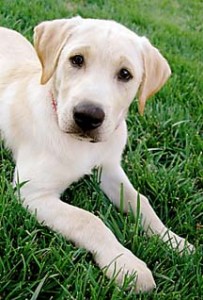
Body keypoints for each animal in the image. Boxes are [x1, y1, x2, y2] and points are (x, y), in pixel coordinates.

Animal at [0, 17, 193, 292]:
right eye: (77, 60)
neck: (82, 145)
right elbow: (88, 220)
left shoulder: (110, 168)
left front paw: (173, 240)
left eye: (125, 74)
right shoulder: (32, 192)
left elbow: (141, 201)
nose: (88, 116)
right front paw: (126, 264)